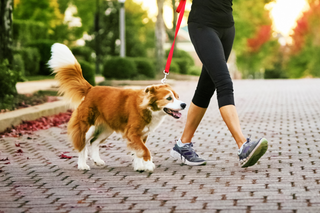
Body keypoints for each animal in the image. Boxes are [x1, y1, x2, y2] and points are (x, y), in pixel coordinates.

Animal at [48, 44, 186, 172]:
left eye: (177, 97)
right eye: (169, 98)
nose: (184, 105)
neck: (148, 108)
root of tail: (91, 89)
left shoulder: (142, 134)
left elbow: (138, 151)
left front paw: (139, 166)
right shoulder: (132, 133)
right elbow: (144, 150)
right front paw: (148, 164)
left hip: (106, 128)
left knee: (94, 142)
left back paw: (97, 161)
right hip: (87, 127)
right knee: (83, 145)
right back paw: (82, 165)